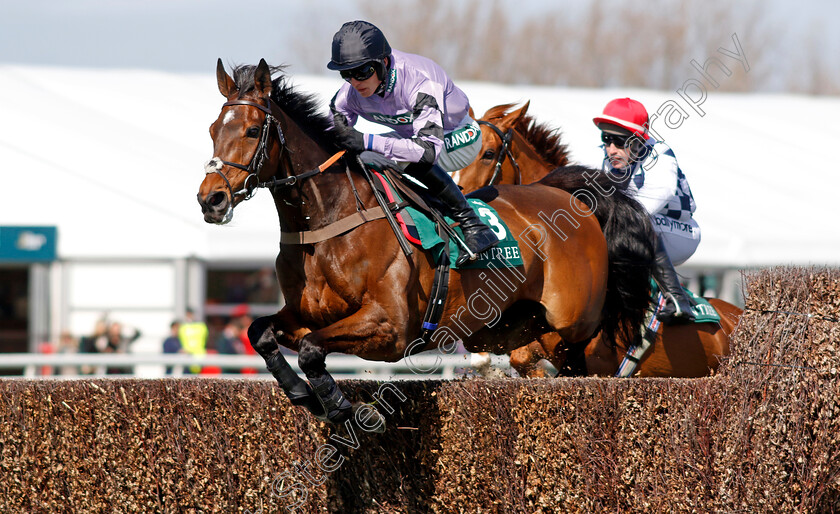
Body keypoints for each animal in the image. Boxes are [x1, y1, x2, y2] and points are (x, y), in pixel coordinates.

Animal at [199, 61, 656, 424]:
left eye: (252, 130)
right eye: (212, 130)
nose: (211, 199)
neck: (327, 221)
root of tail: (571, 198)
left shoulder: (390, 327)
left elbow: (312, 350)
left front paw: (344, 408)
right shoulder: (304, 315)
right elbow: (260, 332)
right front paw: (302, 394)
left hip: (577, 327)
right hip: (508, 329)